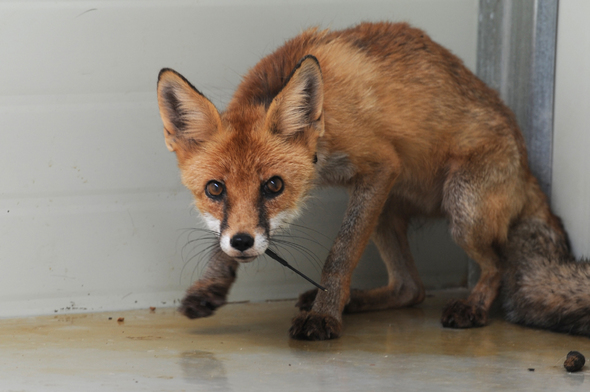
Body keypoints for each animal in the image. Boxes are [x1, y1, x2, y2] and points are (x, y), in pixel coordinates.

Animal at [157, 21, 590, 340]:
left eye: (273, 186)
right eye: (215, 189)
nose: (244, 243)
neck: (326, 124)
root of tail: (528, 170)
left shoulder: (381, 165)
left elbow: (340, 254)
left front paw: (325, 317)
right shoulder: (371, 183)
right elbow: (219, 237)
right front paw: (212, 283)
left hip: (461, 208)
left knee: (496, 264)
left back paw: (473, 306)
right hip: (385, 211)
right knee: (410, 288)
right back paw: (355, 300)